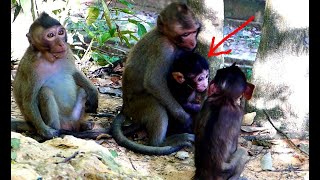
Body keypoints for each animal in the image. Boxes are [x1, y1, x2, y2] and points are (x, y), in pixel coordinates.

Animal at [110, 2, 200, 155]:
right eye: (185, 34)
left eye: (194, 31)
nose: (193, 41)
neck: (166, 36)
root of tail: (125, 108)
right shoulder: (163, 47)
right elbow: (154, 82)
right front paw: (185, 118)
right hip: (137, 106)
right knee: (156, 104)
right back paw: (161, 143)